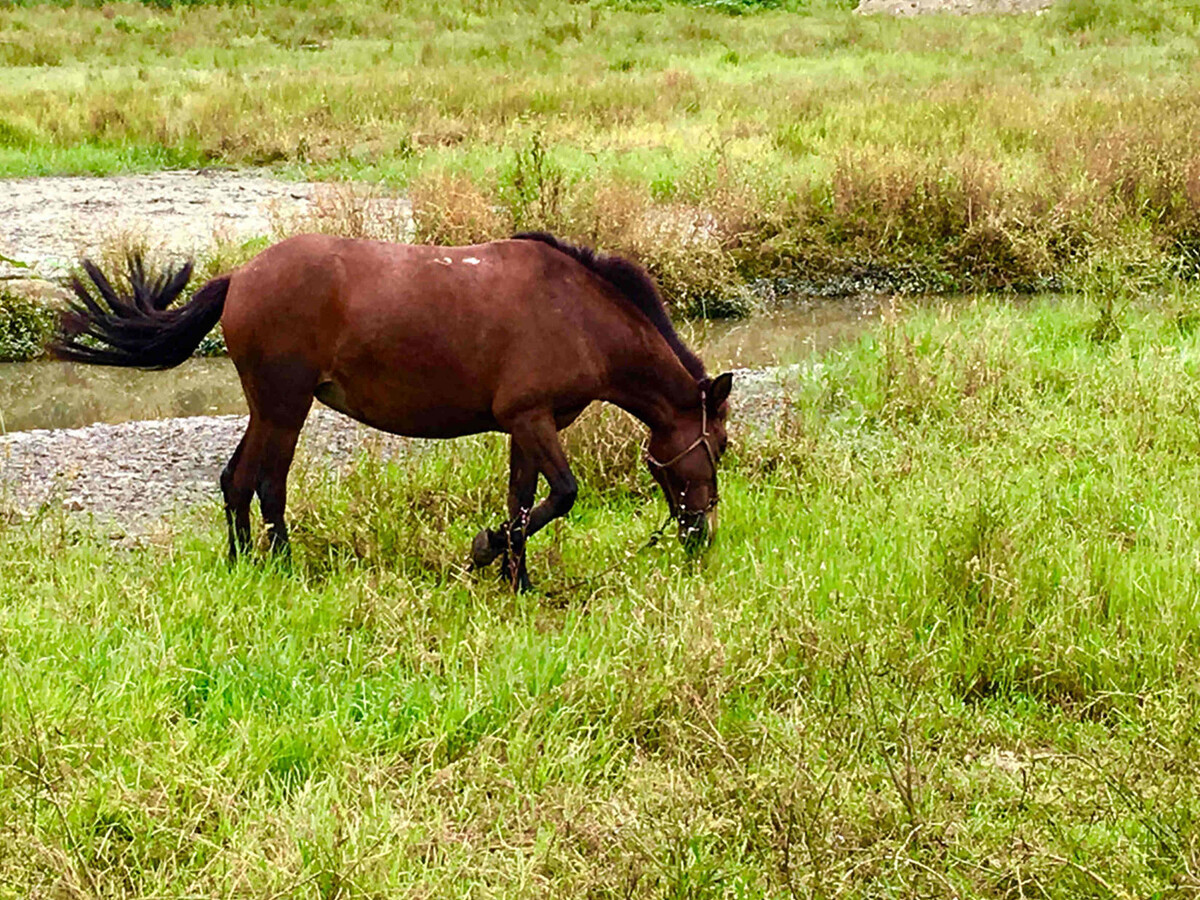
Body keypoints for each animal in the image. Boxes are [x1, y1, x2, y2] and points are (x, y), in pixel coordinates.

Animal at [51, 230, 729, 592]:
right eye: (718, 447)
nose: (700, 535)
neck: (577, 314)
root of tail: (240, 276)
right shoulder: (533, 420)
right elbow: (560, 496)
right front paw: (486, 550)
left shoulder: (524, 425)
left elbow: (522, 502)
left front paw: (517, 579)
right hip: (284, 407)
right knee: (267, 483)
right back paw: (282, 566)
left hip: (266, 408)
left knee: (236, 481)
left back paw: (244, 564)